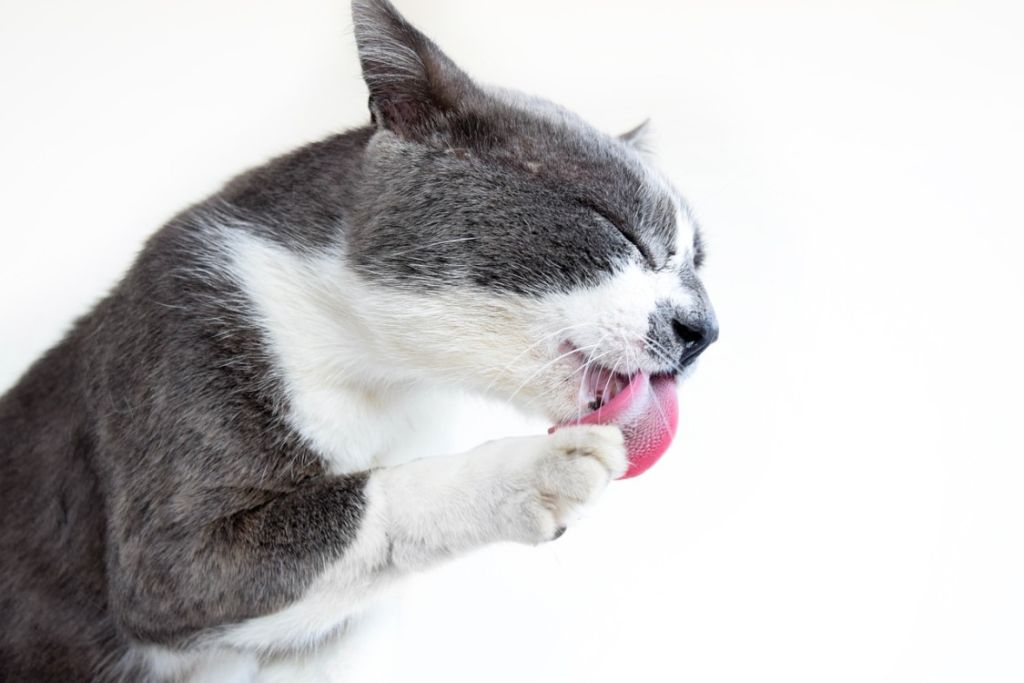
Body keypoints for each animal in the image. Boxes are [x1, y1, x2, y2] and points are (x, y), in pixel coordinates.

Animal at [0, 1, 720, 679]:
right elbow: (372, 498)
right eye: (620, 230)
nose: (705, 330)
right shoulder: (169, 556)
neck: (379, 374)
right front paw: (530, 471)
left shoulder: (335, 637)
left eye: (697, 263)